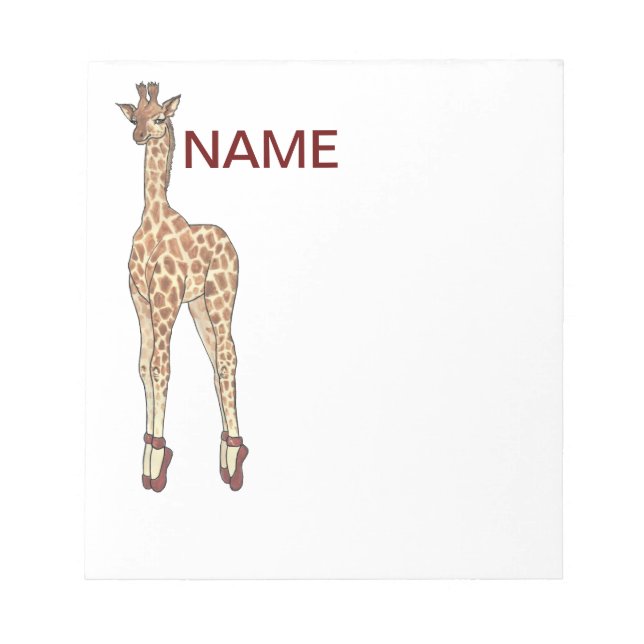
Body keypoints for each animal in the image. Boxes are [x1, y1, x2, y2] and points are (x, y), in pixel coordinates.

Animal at [117, 82, 248, 493]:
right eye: (134, 118)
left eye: (160, 117)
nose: (139, 136)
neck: (153, 218)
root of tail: (230, 242)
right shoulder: (140, 299)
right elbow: (144, 367)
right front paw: (148, 458)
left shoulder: (165, 298)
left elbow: (161, 366)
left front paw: (158, 462)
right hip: (199, 305)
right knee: (217, 359)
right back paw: (228, 456)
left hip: (221, 296)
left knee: (227, 356)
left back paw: (235, 460)